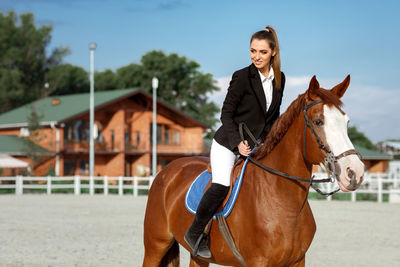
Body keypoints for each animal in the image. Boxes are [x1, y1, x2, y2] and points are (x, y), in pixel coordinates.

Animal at [143, 76, 366, 267]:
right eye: (319, 121)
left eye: (346, 122)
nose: (354, 172)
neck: (284, 203)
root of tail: (168, 170)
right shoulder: (258, 261)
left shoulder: (297, 261)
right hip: (155, 246)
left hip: (197, 257)